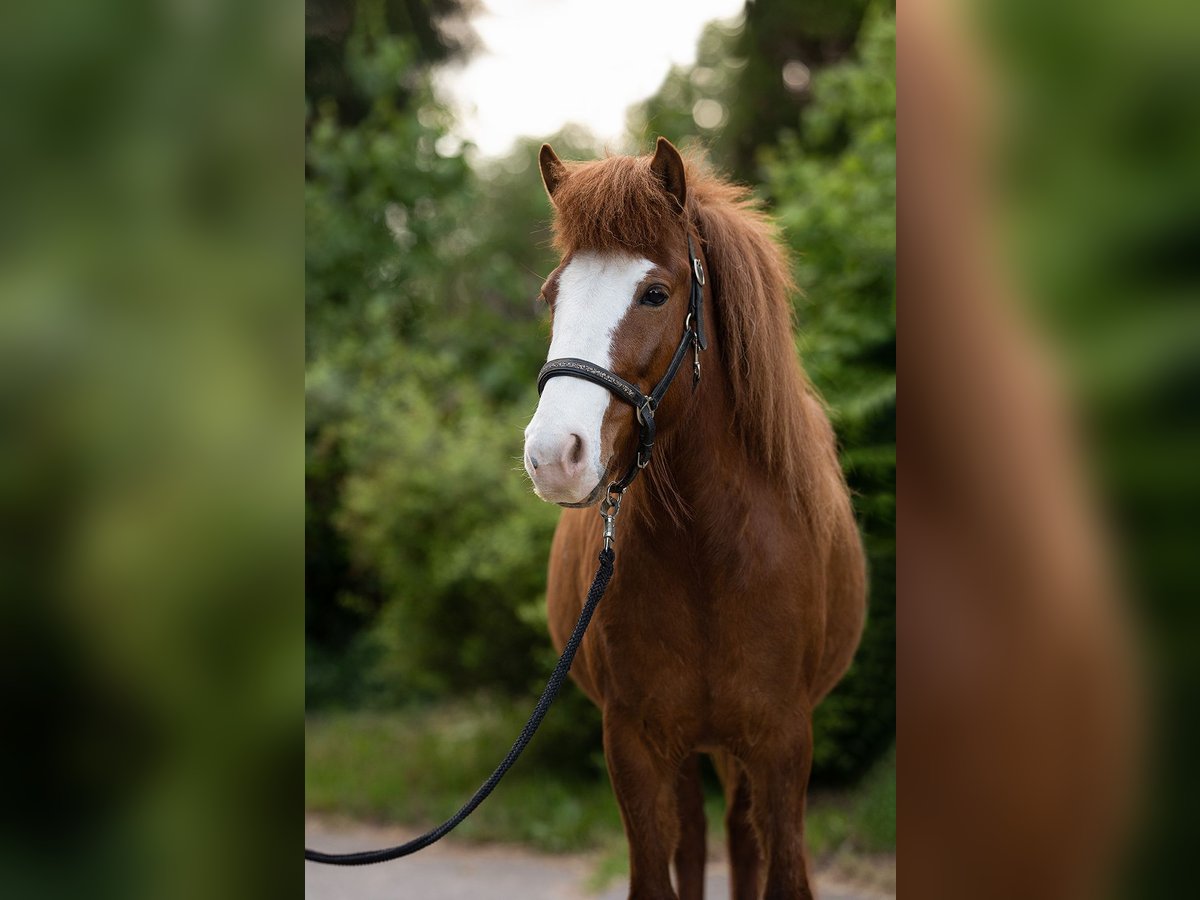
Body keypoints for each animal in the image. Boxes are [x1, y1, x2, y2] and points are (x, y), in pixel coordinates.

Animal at [520, 135, 868, 900]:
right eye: (553, 296)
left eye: (655, 293)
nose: (554, 455)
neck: (708, 554)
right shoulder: (635, 742)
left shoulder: (781, 743)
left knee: (738, 835)